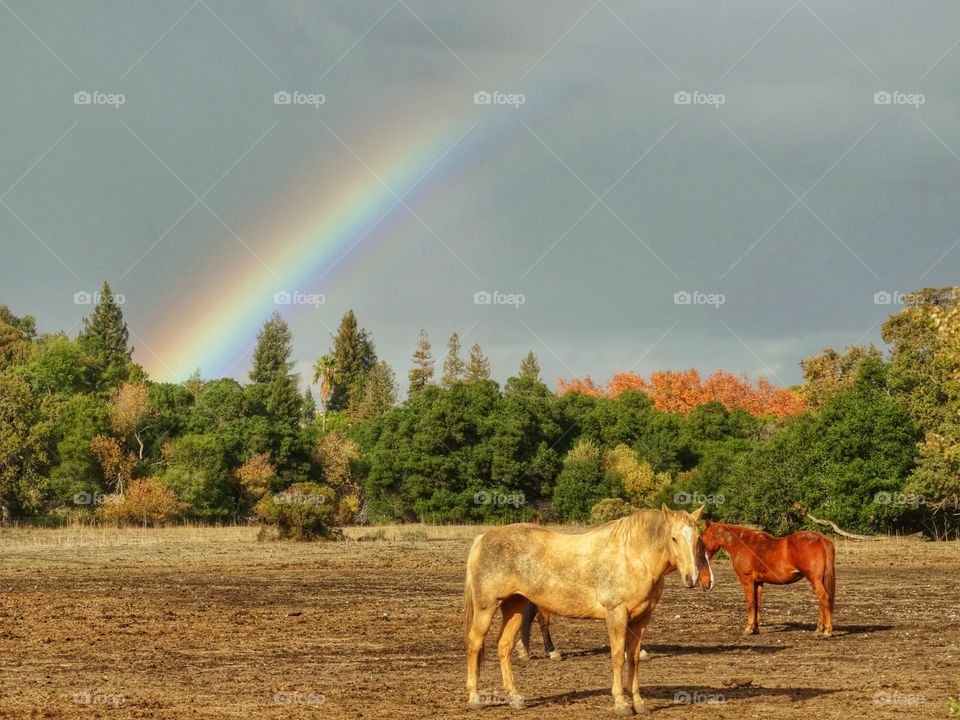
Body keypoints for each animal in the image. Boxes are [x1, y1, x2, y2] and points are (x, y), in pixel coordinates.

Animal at [464, 506, 712, 716]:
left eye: (697, 539)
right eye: (674, 538)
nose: (692, 578)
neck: (633, 556)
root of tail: (482, 538)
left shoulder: (642, 619)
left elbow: (633, 659)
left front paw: (639, 703)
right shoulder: (617, 614)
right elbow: (617, 657)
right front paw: (621, 703)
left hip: (515, 607)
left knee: (504, 647)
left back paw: (515, 697)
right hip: (487, 608)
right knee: (475, 643)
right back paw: (474, 697)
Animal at [700, 516, 836, 636]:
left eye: (702, 538)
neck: (743, 544)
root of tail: (821, 539)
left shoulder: (747, 581)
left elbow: (750, 603)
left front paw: (748, 629)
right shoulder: (758, 582)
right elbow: (757, 604)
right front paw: (755, 629)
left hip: (815, 580)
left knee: (824, 599)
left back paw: (827, 631)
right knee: (822, 602)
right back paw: (819, 629)